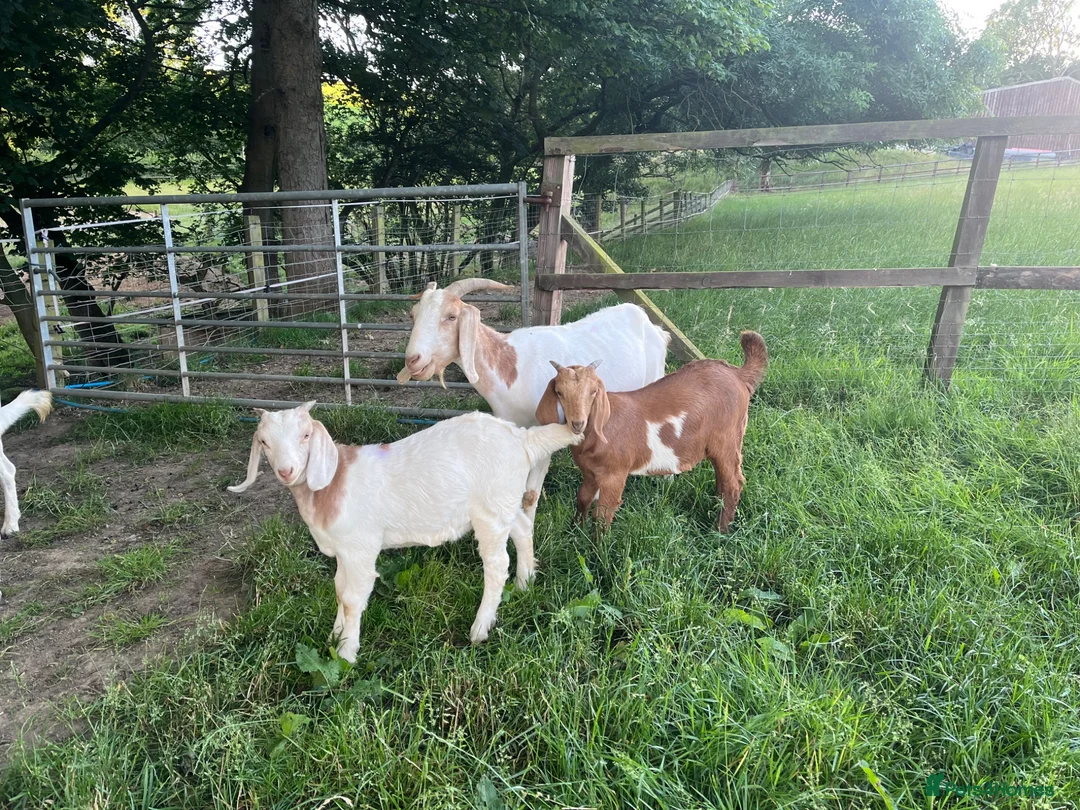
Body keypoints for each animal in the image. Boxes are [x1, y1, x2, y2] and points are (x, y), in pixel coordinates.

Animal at [228, 402, 582, 662]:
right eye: (264, 442)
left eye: (305, 436)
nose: (286, 471)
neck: (331, 484)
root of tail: (521, 439)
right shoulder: (344, 552)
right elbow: (340, 591)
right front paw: (335, 636)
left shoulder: (360, 549)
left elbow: (352, 598)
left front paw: (346, 654)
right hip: (503, 501)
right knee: (522, 527)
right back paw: (525, 582)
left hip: (489, 513)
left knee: (496, 565)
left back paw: (481, 627)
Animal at [398, 277, 670, 539]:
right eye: (413, 315)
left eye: (451, 316)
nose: (413, 360)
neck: (511, 369)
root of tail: (652, 325)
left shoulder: (543, 433)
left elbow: (529, 494)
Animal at [535, 332, 767, 533]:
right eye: (559, 392)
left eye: (594, 392)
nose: (578, 423)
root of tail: (737, 374)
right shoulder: (590, 472)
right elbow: (582, 498)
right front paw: (573, 532)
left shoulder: (615, 474)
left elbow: (602, 515)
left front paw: (598, 551)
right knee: (723, 479)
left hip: (728, 438)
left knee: (733, 483)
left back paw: (720, 531)